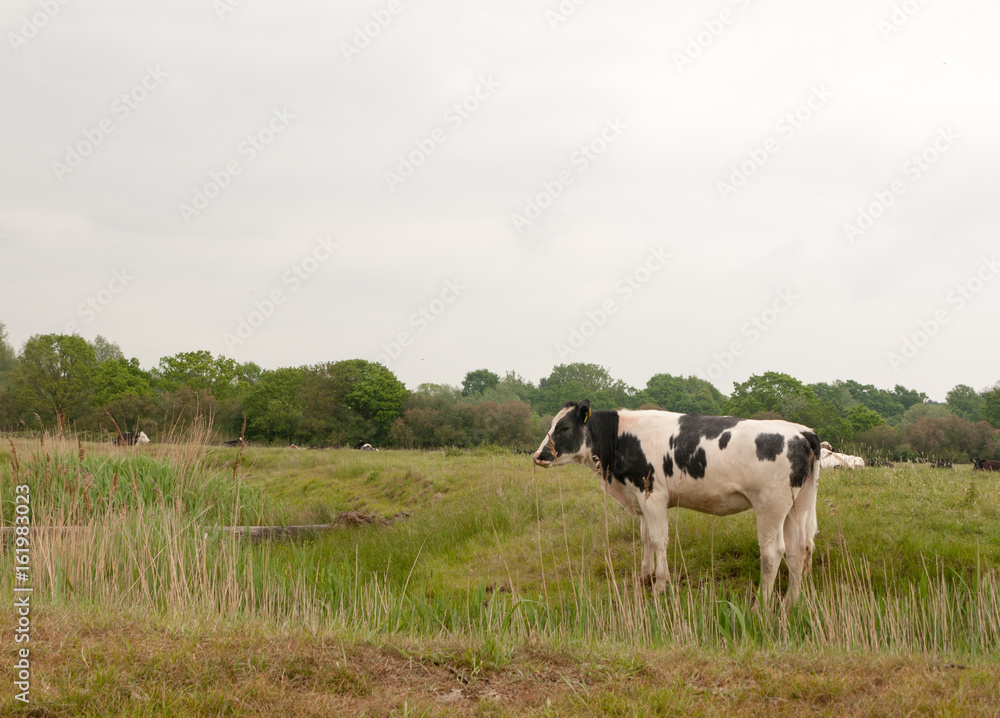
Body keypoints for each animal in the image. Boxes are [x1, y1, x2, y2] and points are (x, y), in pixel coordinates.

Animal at [533, 400, 820, 606]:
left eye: (564, 427)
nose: (538, 455)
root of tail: (802, 432)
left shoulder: (653, 496)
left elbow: (659, 540)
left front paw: (660, 586)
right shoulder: (641, 497)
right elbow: (645, 538)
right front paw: (644, 577)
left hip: (770, 505)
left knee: (773, 553)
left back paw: (760, 604)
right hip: (799, 504)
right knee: (799, 549)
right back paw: (791, 602)